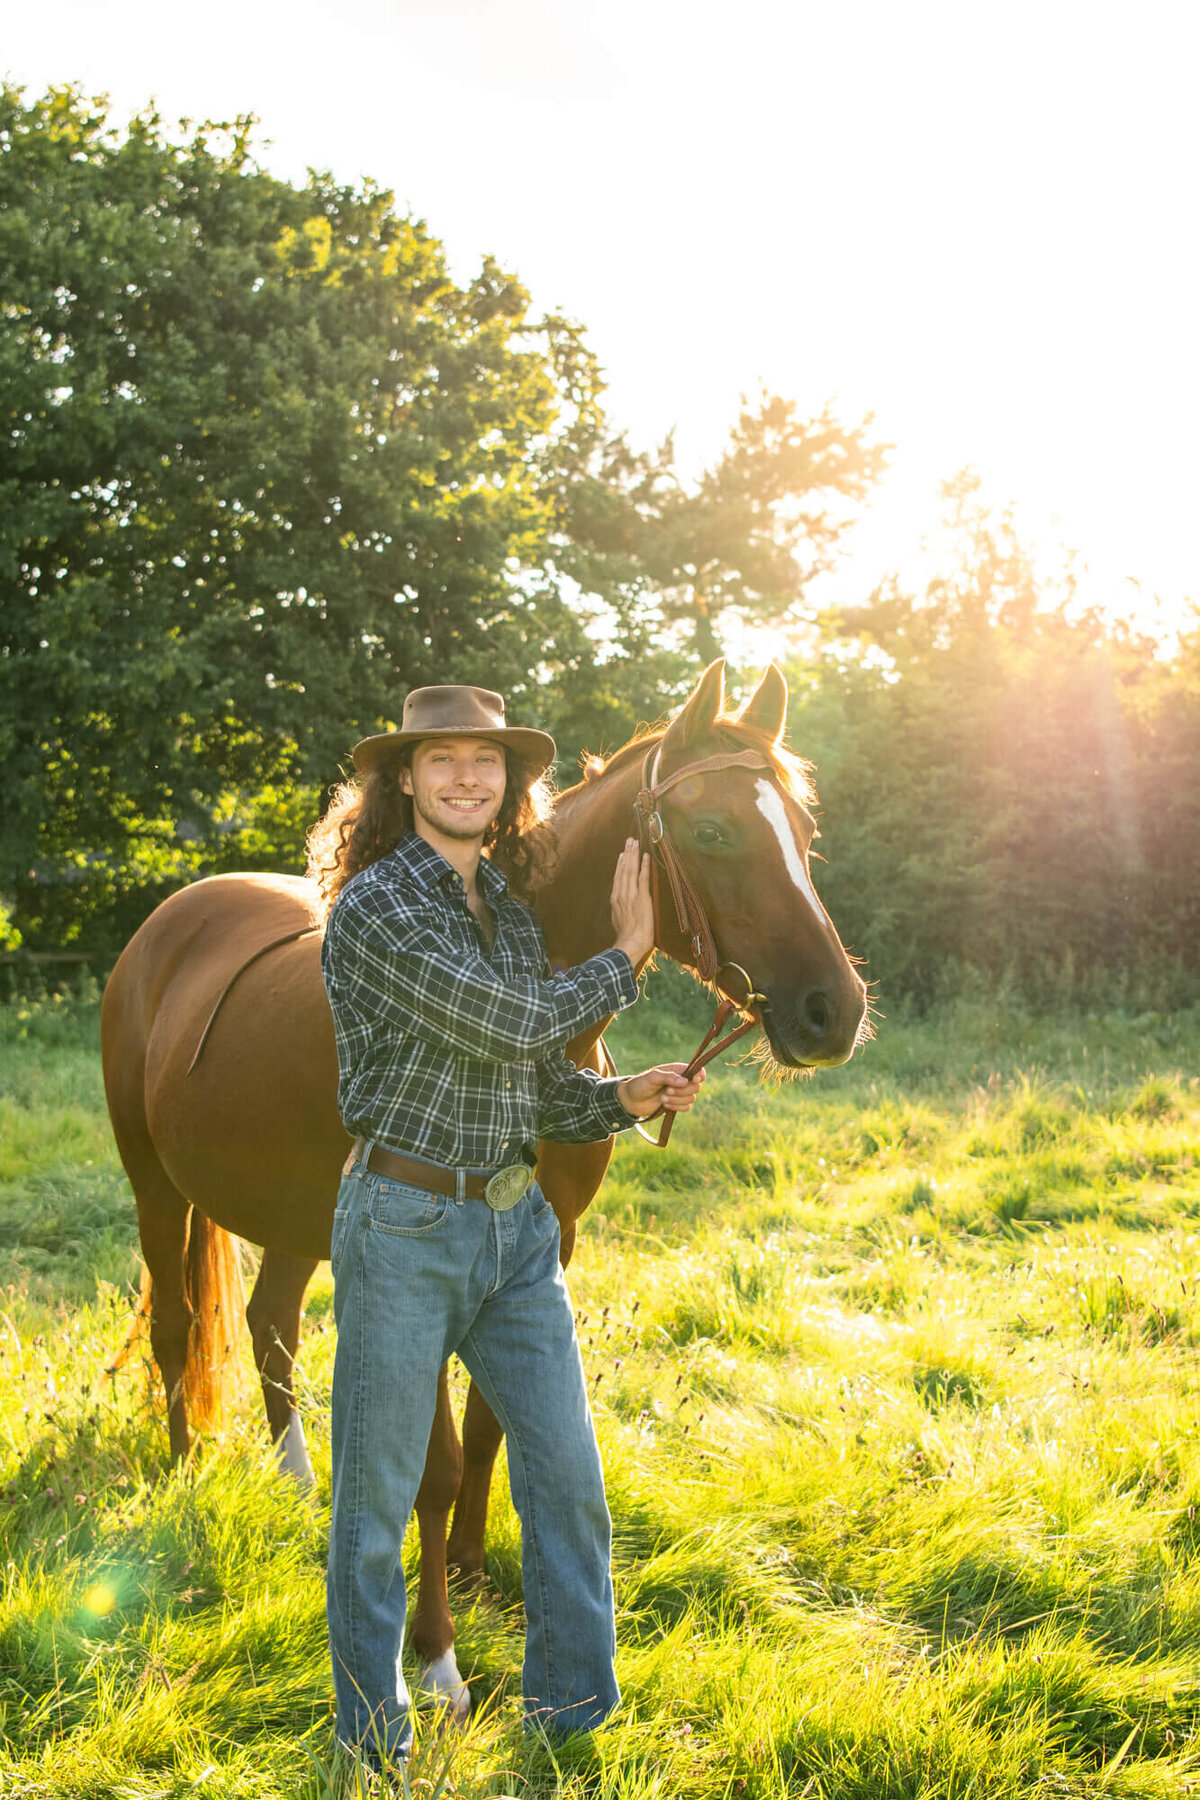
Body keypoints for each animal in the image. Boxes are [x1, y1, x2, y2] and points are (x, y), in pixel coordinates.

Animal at [100, 662, 863, 1713]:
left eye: (805, 831)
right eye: (712, 831)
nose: (836, 1012)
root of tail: (170, 922)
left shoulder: (545, 1249)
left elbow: (494, 1427)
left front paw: (469, 1568)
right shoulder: (405, 1274)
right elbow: (433, 1461)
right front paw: (436, 1656)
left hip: (297, 1225)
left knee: (269, 1326)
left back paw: (298, 1487)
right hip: (154, 1183)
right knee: (178, 1328)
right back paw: (186, 1479)